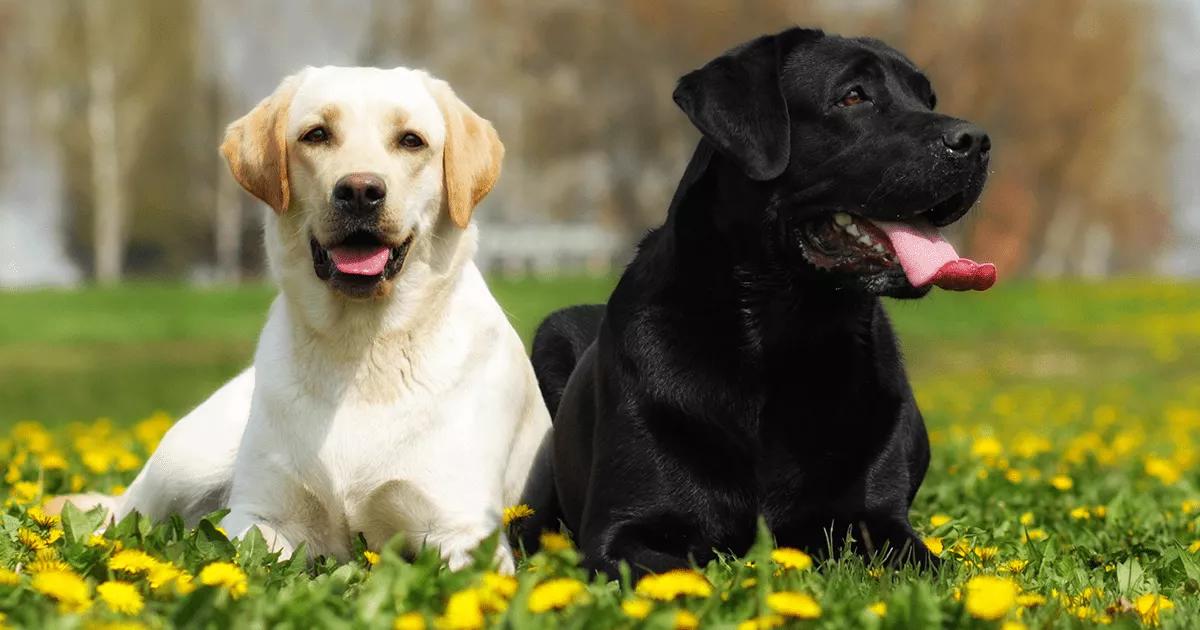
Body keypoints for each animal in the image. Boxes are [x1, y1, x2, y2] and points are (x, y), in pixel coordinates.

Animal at [49, 65, 549, 568]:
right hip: (185, 463)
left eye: (411, 140)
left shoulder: (462, 530)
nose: (359, 191)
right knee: (122, 514)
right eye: (317, 134)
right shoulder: (260, 516)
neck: (360, 349)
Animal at [520, 29, 998, 578]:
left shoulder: (881, 522)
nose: (976, 141)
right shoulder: (619, 533)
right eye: (853, 96)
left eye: (927, 99)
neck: (786, 338)